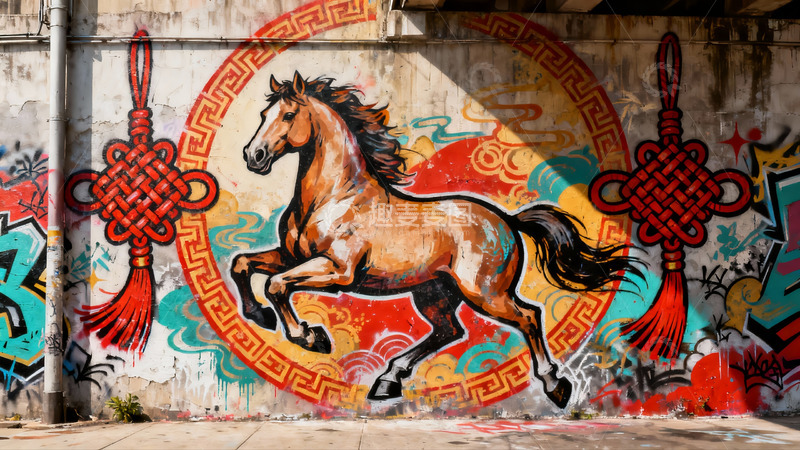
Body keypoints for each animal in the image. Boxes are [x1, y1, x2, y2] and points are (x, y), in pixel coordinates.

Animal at [231, 71, 636, 408]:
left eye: (287, 116)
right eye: (263, 114)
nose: (253, 156)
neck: (333, 197)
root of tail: (506, 220)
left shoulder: (338, 271)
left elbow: (276, 284)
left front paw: (311, 337)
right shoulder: (291, 256)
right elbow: (244, 265)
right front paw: (260, 315)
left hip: (484, 292)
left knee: (528, 316)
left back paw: (556, 385)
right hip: (434, 291)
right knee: (449, 329)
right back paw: (388, 380)